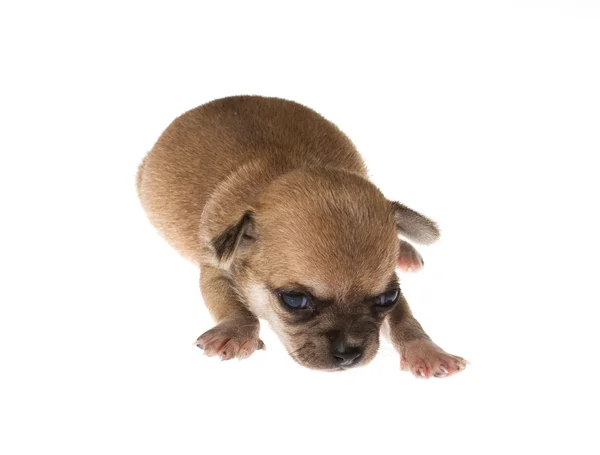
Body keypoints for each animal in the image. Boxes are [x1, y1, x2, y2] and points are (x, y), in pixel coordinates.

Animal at [137, 96, 468, 378]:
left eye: (388, 298)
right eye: (294, 300)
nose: (349, 354)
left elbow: (405, 320)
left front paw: (426, 350)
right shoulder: (216, 268)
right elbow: (231, 305)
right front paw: (235, 331)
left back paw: (406, 250)